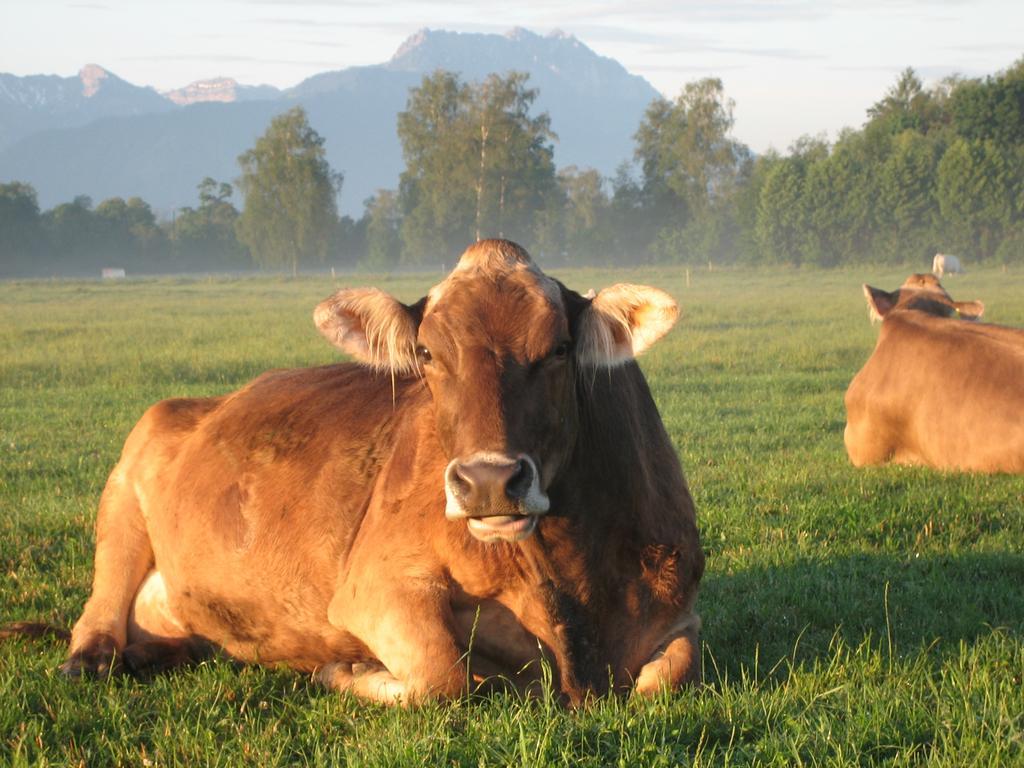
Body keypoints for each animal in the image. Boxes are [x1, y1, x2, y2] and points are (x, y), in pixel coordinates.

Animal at [4, 241, 704, 708]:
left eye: (559, 348)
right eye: (427, 353)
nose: (487, 482)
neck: (569, 594)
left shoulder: (677, 609)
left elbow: (670, 675)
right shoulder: (375, 584)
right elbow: (441, 675)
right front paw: (349, 670)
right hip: (125, 487)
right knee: (97, 617)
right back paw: (96, 658)